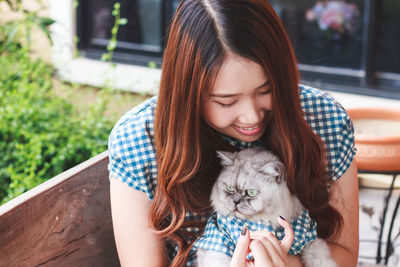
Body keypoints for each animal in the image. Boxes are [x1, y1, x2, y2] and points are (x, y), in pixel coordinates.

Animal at [197, 149, 338, 267]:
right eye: (229, 189)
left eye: (251, 193)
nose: (235, 201)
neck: (263, 221)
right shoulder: (216, 244)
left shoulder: (310, 239)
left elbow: (321, 260)